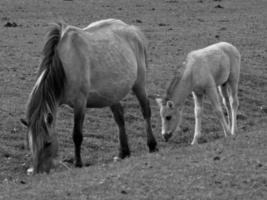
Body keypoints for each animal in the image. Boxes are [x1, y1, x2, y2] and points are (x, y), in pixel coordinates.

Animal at [22, 18, 159, 173]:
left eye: (47, 143)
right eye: (31, 144)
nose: (39, 171)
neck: (65, 65)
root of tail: (132, 29)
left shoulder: (80, 103)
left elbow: (77, 135)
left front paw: (78, 163)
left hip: (139, 84)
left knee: (145, 110)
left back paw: (152, 145)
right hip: (112, 94)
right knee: (119, 118)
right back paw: (123, 152)